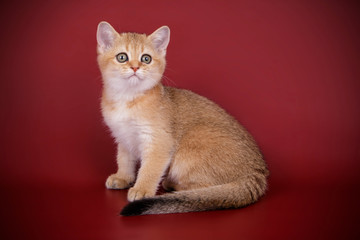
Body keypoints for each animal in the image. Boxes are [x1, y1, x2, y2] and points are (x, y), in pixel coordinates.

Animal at [97, 21, 268, 216]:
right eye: (122, 57)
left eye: (146, 58)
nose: (135, 67)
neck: (127, 99)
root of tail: (256, 172)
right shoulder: (123, 137)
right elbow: (124, 160)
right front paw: (123, 178)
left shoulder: (159, 141)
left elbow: (150, 169)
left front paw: (142, 189)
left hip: (192, 143)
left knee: (207, 191)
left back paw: (174, 186)